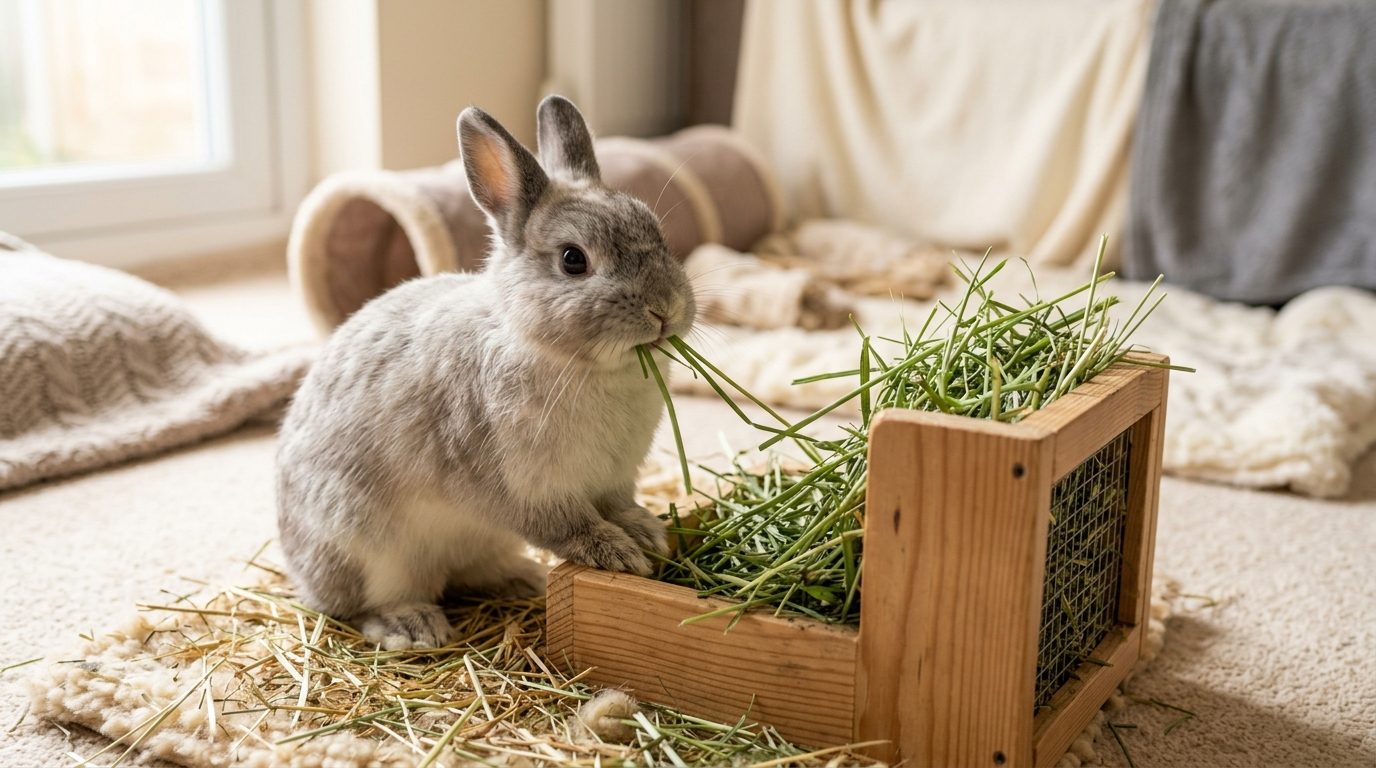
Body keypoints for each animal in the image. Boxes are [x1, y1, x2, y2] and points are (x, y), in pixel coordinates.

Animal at [275, 96, 695, 651]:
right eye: (573, 260)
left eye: (657, 232)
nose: (665, 310)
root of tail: (300, 569)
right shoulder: (525, 488)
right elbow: (569, 525)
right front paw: (617, 552)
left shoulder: (613, 480)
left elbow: (620, 505)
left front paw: (647, 533)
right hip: (364, 544)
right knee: (361, 604)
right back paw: (413, 625)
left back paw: (522, 577)